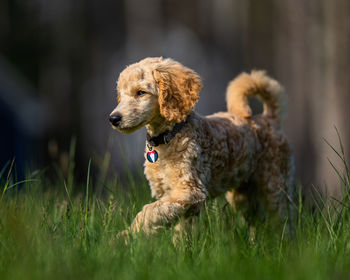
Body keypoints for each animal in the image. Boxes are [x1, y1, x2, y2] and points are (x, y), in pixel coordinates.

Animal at [108, 57, 292, 236]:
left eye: (141, 92)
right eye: (121, 95)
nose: (113, 118)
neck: (170, 136)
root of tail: (269, 118)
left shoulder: (190, 191)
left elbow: (150, 211)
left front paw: (127, 236)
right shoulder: (175, 198)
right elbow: (177, 228)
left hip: (274, 184)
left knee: (282, 220)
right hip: (243, 194)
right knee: (259, 221)